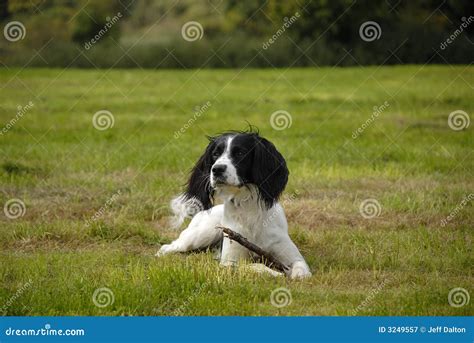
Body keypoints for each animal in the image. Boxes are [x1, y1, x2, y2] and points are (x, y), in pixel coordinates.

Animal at [156, 131, 312, 280]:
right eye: (215, 154)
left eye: (240, 153)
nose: (217, 169)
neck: (248, 207)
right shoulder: (229, 262)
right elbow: (253, 265)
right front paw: (274, 273)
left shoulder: (293, 255)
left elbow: (301, 270)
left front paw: (295, 275)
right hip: (200, 235)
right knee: (169, 246)